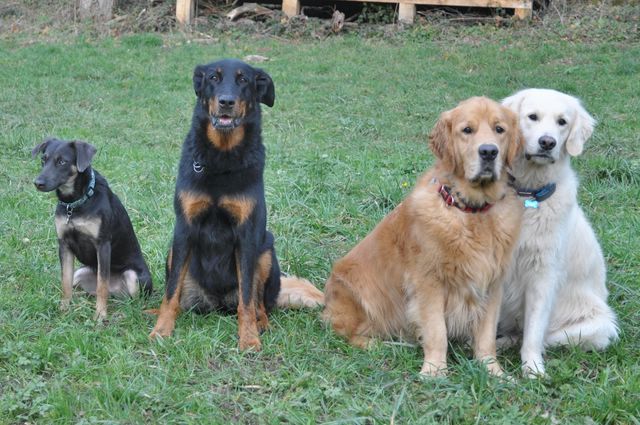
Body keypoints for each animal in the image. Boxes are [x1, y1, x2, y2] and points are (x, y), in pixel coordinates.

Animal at [32, 137, 154, 320]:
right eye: (43, 159)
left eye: (62, 162)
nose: (38, 183)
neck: (74, 204)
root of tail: (115, 291)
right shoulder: (64, 244)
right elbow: (65, 281)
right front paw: (64, 308)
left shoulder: (102, 245)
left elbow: (102, 284)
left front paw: (100, 315)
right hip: (80, 273)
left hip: (133, 277)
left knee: (132, 301)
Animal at [148, 58, 322, 348]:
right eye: (213, 77)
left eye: (243, 80)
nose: (226, 102)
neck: (222, 159)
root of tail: (217, 303)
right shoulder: (184, 229)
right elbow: (171, 292)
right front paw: (162, 330)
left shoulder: (247, 235)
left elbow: (248, 299)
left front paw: (249, 338)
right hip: (174, 252)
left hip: (266, 250)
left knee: (260, 302)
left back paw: (261, 323)